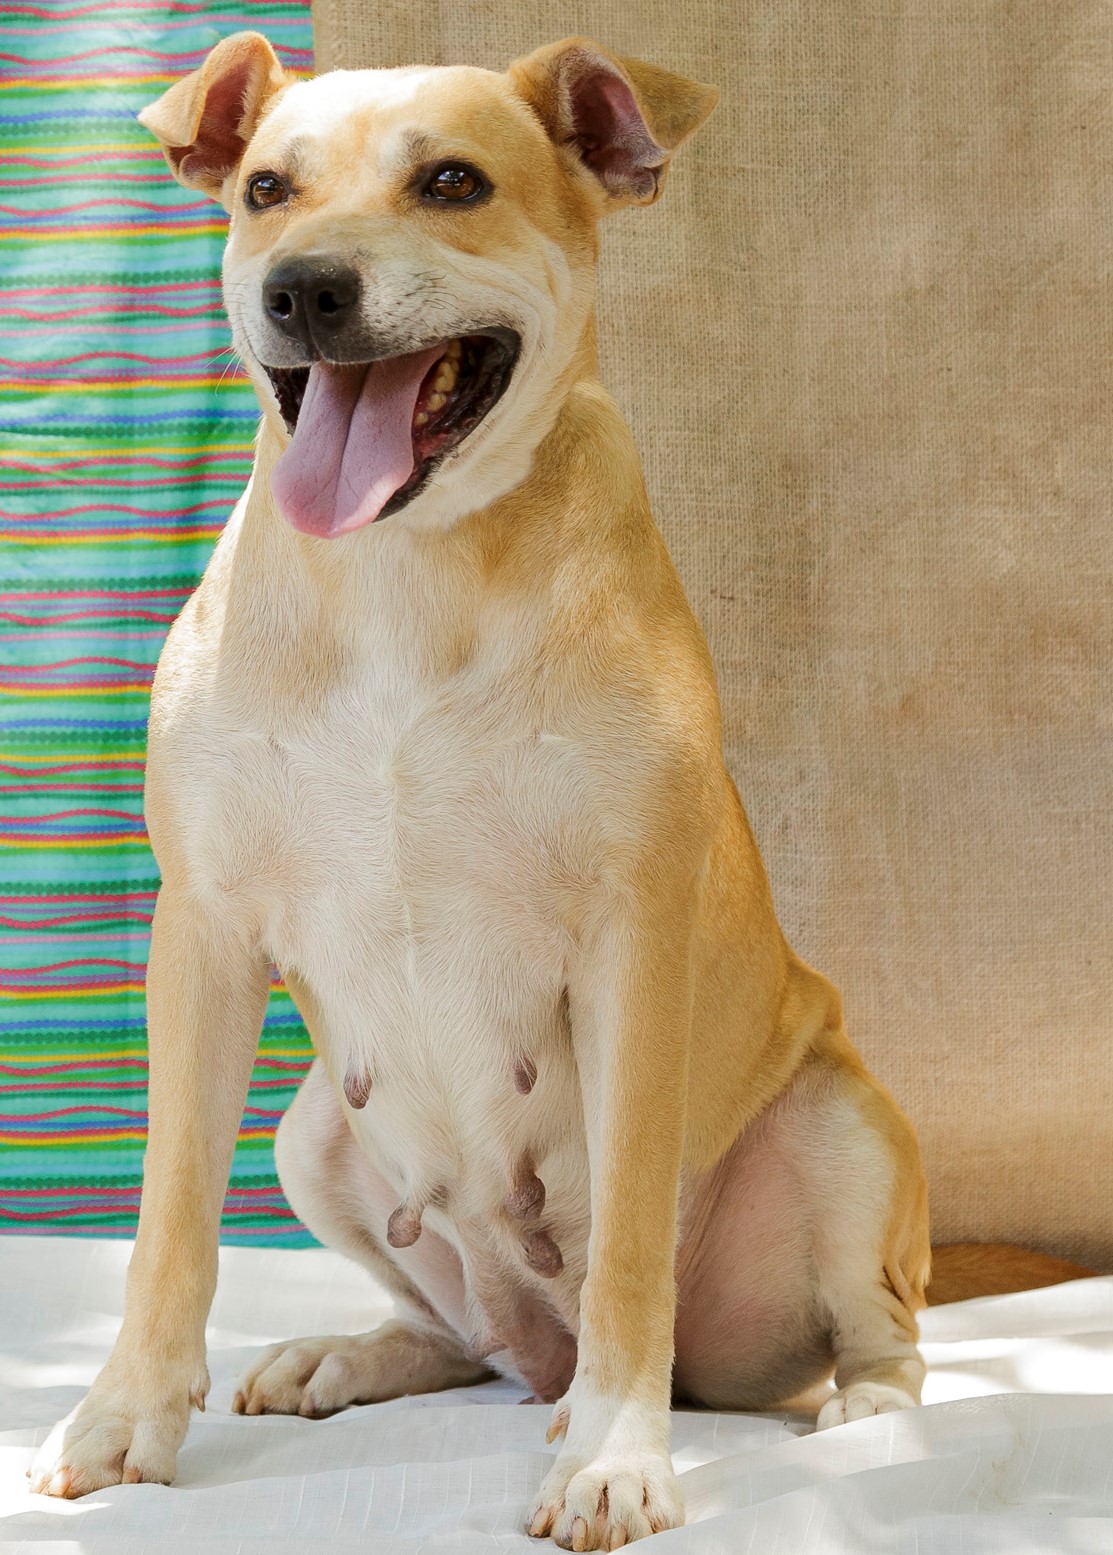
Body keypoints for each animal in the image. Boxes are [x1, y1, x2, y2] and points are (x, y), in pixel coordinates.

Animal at [28, 30, 932, 1548]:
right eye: (264, 188)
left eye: (452, 182)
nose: (304, 287)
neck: (407, 567)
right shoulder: (203, 933)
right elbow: (170, 1224)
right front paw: (121, 1417)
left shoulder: (631, 940)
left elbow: (627, 1242)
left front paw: (617, 1456)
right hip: (312, 1133)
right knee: (469, 1334)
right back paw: (351, 1353)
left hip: (842, 1125)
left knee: (868, 1329)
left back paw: (851, 1411)